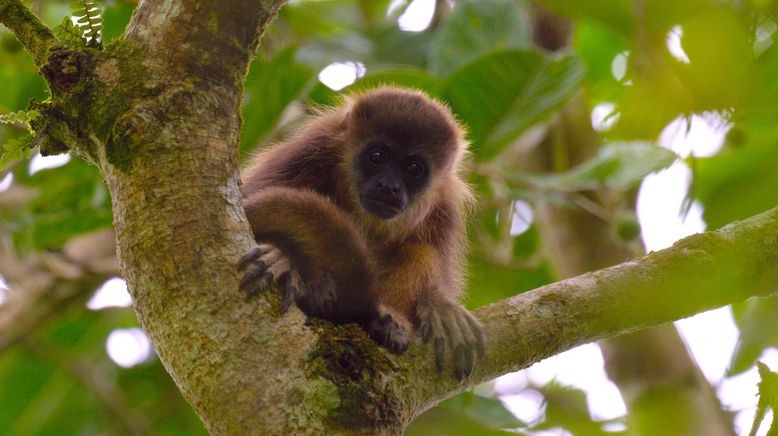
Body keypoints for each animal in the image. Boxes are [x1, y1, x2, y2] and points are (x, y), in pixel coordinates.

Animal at [236, 87, 482, 380]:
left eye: (414, 169)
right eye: (377, 157)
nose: (388, 186)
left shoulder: (444, 206)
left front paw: (438, 304)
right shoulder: (312, 149)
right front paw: (282, 257)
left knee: (420, 251)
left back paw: (387, 322)